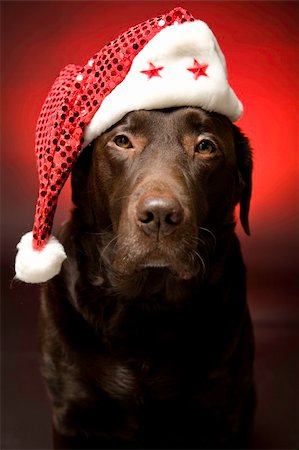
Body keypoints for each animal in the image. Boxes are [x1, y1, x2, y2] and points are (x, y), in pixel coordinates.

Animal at [38, 107, 256, 448]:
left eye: (205, 146)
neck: (146, 308)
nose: (159, 215)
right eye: (122, 141)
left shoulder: (222, 416)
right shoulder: (72, 417)